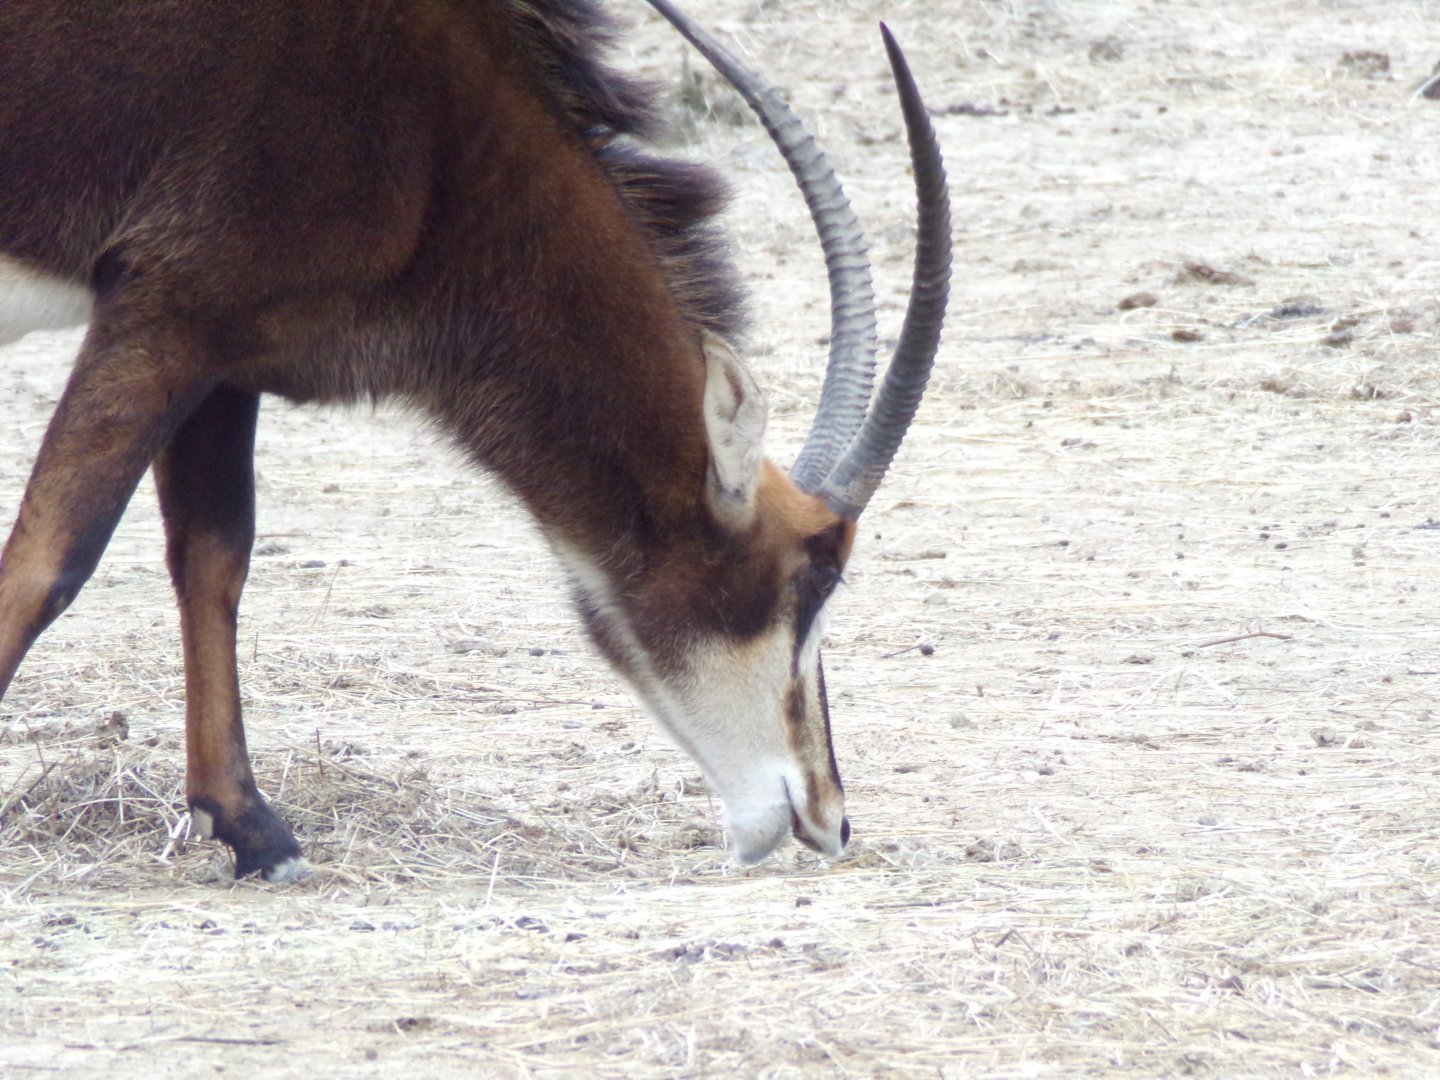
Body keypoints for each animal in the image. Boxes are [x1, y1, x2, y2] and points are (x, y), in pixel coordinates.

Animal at [0, 0, 950, 881]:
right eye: (813, 580)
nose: (830, 818)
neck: (445, 141)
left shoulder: (224, 353)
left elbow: (214, 559)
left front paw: (251, 828)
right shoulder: (166, 312)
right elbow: (46, 567)